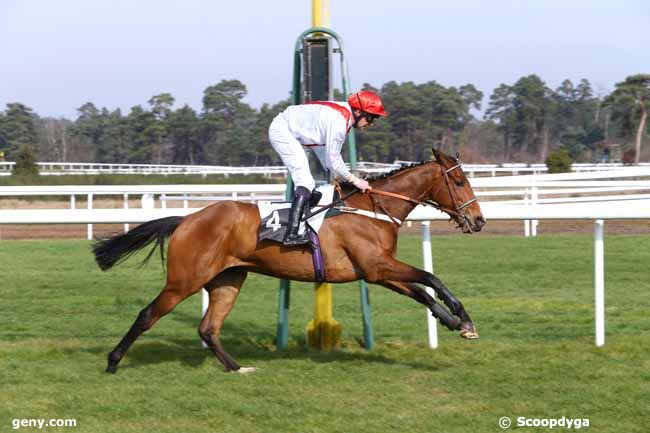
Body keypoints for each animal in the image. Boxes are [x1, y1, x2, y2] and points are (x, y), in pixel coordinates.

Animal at [95, 148, 480, 372]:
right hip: (184, 281)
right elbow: (429, 278)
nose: (477, 220)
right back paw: (113, 362)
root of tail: (187, 219)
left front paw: (454, 321)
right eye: (460, 181)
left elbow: (422, 290)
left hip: (227, 279)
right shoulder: (376, 267)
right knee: (147, 315)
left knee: (208, 328)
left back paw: (237, 367)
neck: (373, 208)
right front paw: (462, 317)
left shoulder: (378, 271)